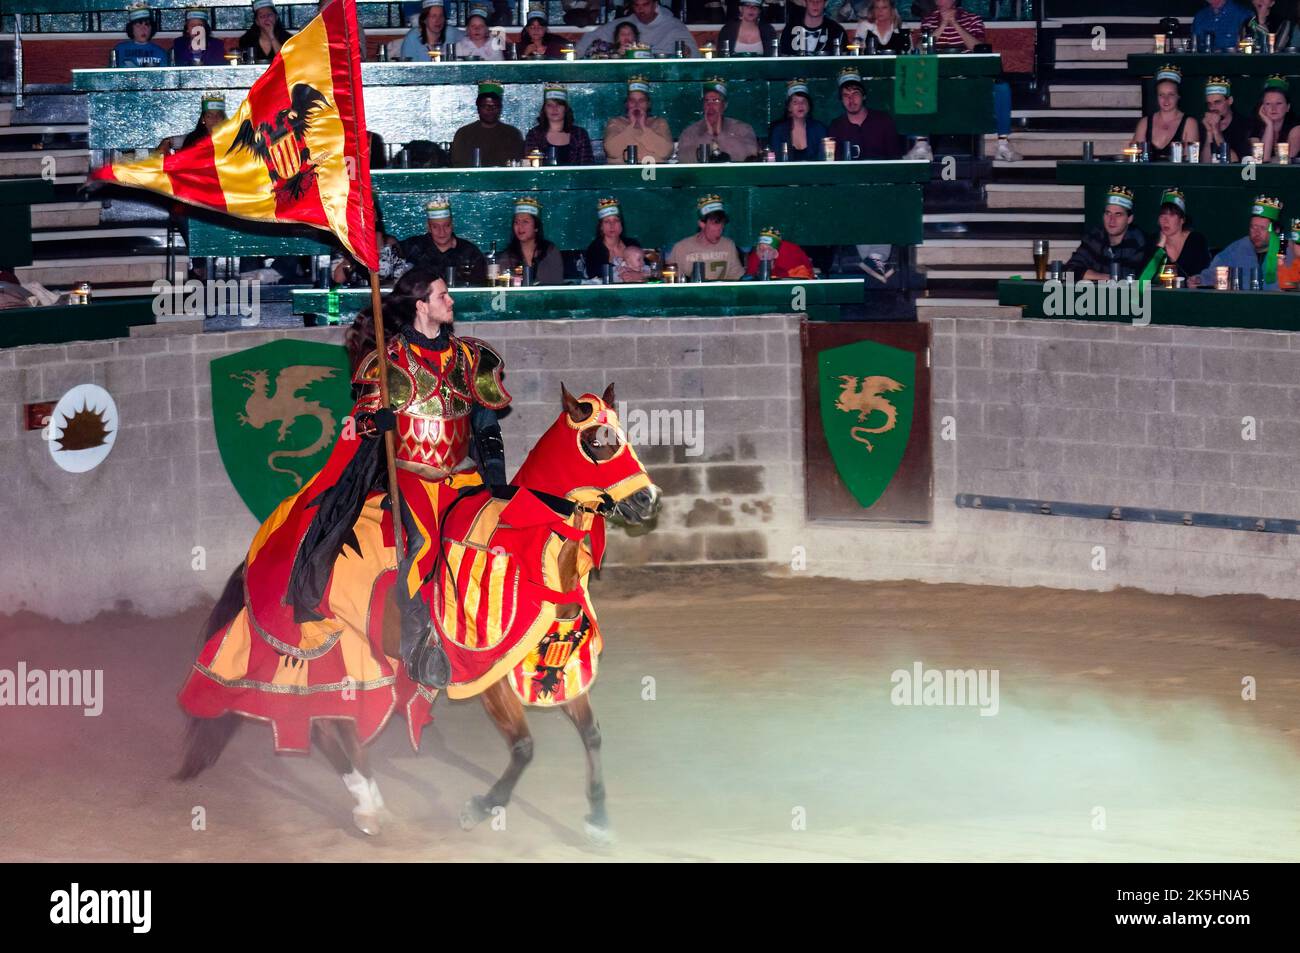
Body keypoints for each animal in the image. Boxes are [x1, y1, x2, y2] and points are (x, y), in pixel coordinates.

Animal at [175, 382, 660, 842]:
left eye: (624, 433)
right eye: (597, 441)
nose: (649, 499)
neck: (527, 550)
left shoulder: (555, 662)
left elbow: (592, 733)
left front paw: (599, 820)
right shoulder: (485, 674)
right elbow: (524, 746)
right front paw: (479, 808)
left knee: (333, 722)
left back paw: (370, 802)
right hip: (336, 647)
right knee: (329, 722)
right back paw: (369, 807)